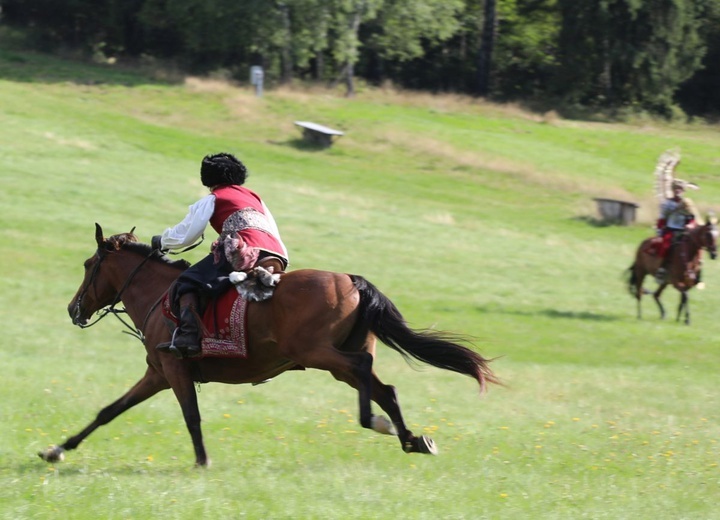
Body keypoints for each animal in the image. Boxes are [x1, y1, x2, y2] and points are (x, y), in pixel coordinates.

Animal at [38, 224, 500, 468]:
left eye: (88, 265)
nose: (73, 308)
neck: (158, 294)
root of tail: (351, 280)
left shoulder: (174, 370)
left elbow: (192, 417)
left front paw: (202, 462)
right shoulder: (157, 373)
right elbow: (108, 411)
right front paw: (57, 449)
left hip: (320, 355)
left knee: (366, 371)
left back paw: (374, 422)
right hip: (337, 361)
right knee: (386, 388)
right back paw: (409, 438)